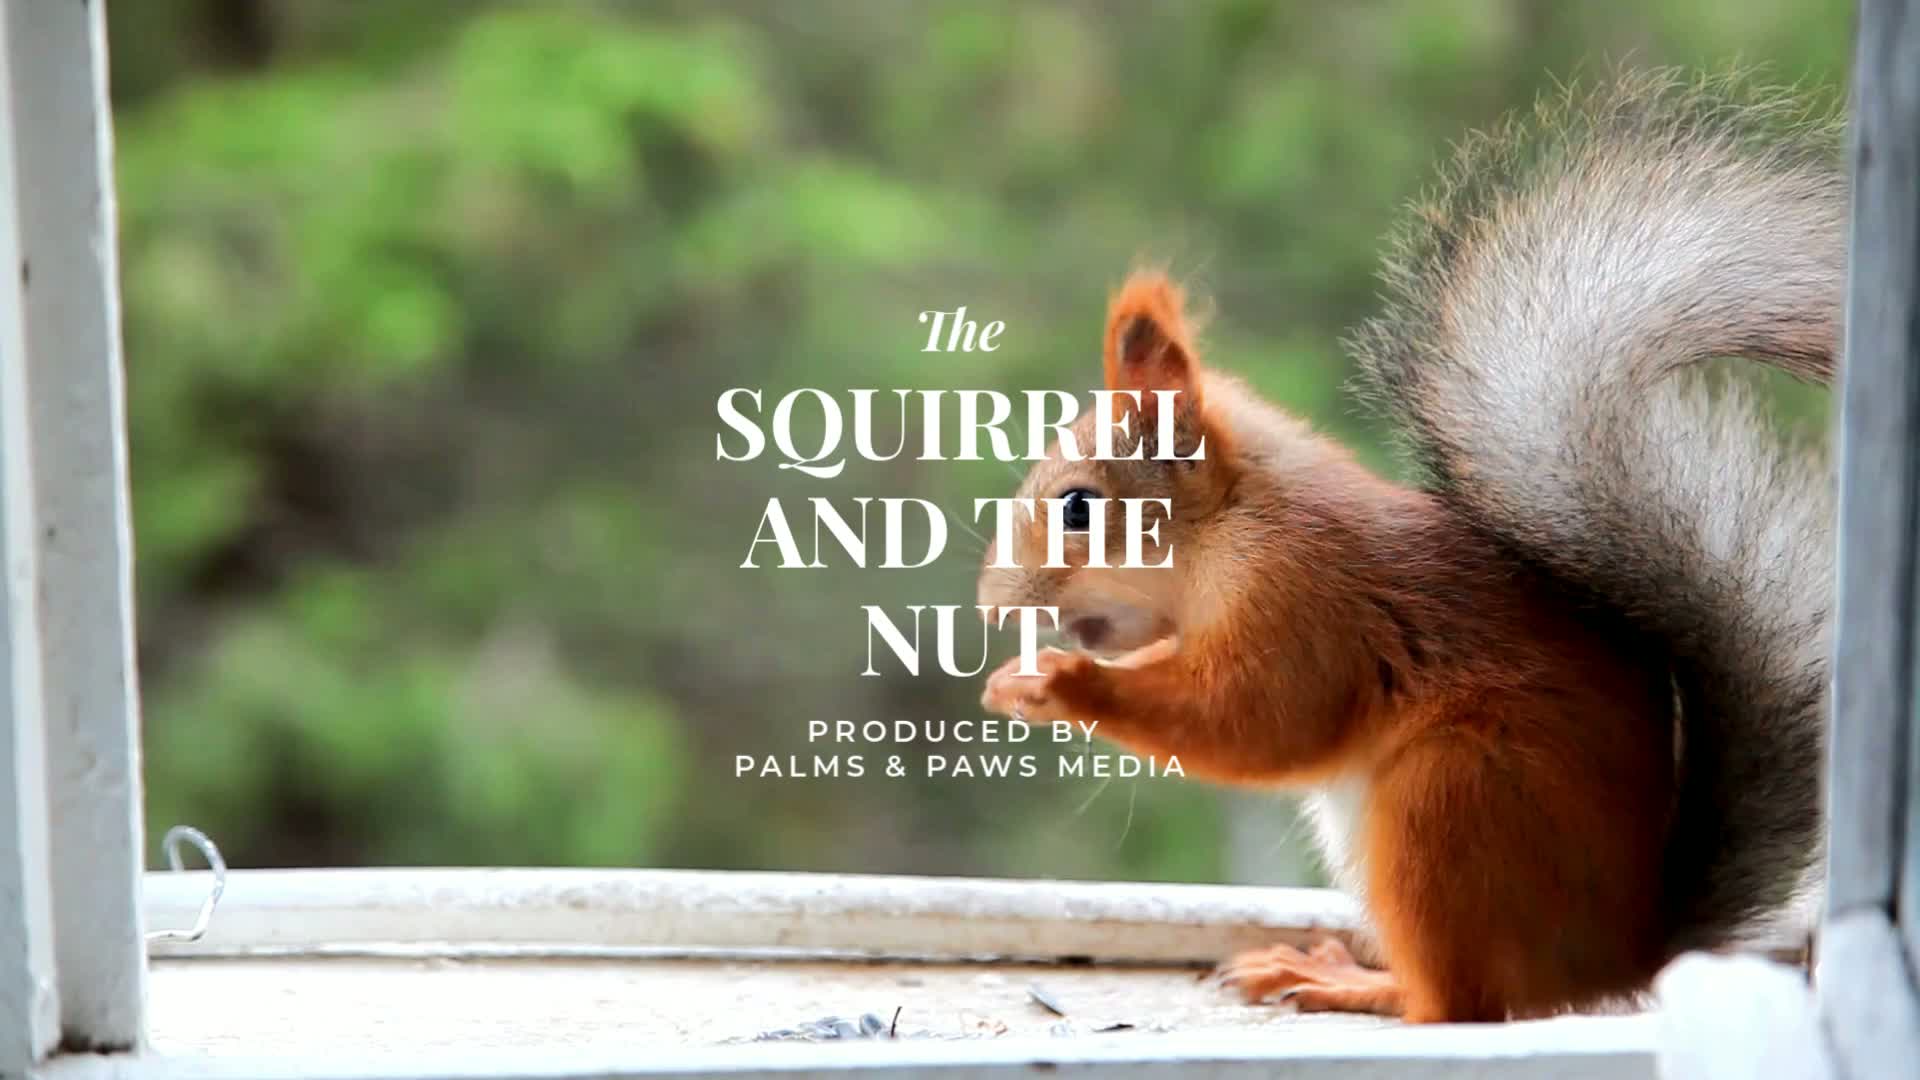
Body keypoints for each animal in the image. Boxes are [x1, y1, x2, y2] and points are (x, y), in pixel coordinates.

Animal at [974, 71, 1842, 1023]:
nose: (990, 606)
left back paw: (1351, 982)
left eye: (1078, 507)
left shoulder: (1303, 603)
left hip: (1450, 803)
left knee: (1455, 1004)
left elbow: (1253, 721)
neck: (1233, 526)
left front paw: (1063, 682)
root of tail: (1612, 958)